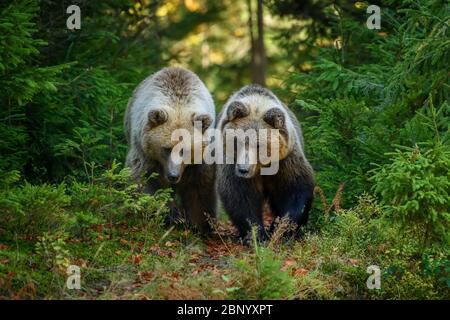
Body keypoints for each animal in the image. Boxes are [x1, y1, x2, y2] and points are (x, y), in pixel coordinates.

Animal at [124, 66, 217, 234]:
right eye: (166, 149)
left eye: (185, 150)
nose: (173, 175)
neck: (178, 103)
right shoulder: (145, 153)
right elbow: (146, 179)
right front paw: (172, 214)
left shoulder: (200, 161)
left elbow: (200, 188)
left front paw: (201, 224)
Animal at [216, 84, 314, 241]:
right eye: (238, 141)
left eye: (259, 145)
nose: (243, 169)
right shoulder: (231, 163)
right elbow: (240, 196)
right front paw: (257, 234)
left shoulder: (285, 161)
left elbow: (296, 189)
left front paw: (281, 227)